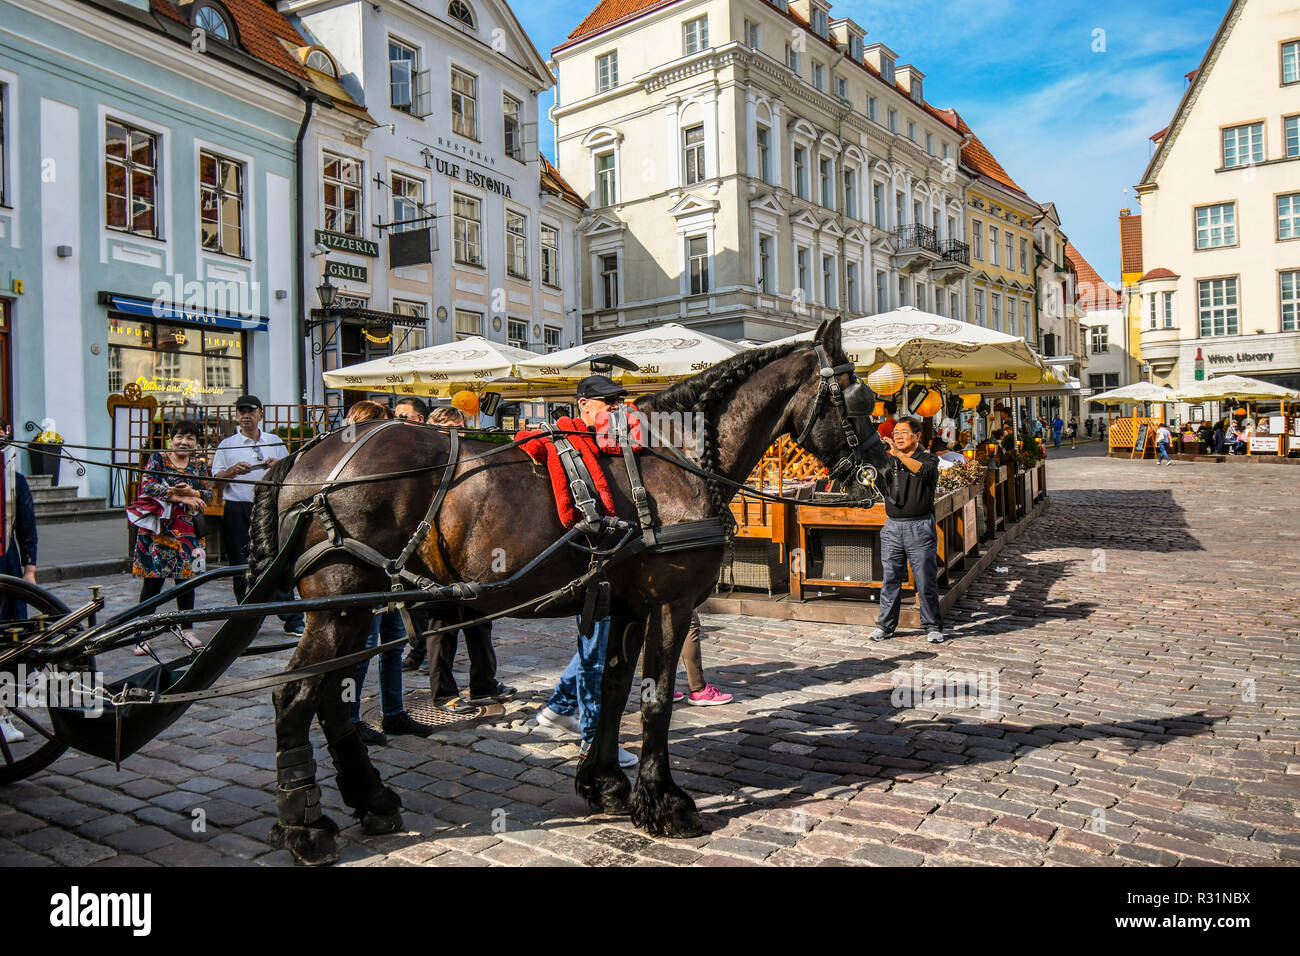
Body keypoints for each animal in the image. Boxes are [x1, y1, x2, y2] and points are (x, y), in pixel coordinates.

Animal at [246, 316, 887, 865]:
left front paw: (605, 783)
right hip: (339, 608)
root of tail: (308, 453)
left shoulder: (625, 608)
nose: (883, 472)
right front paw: (663, 803)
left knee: (332, 698)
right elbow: (656, 701)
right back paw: (306, 824)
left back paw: (369, 800)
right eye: (859, 401)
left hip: (352, 610)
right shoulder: (671, 605)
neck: (672, 463)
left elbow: (612, 689)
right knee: (296, 696)